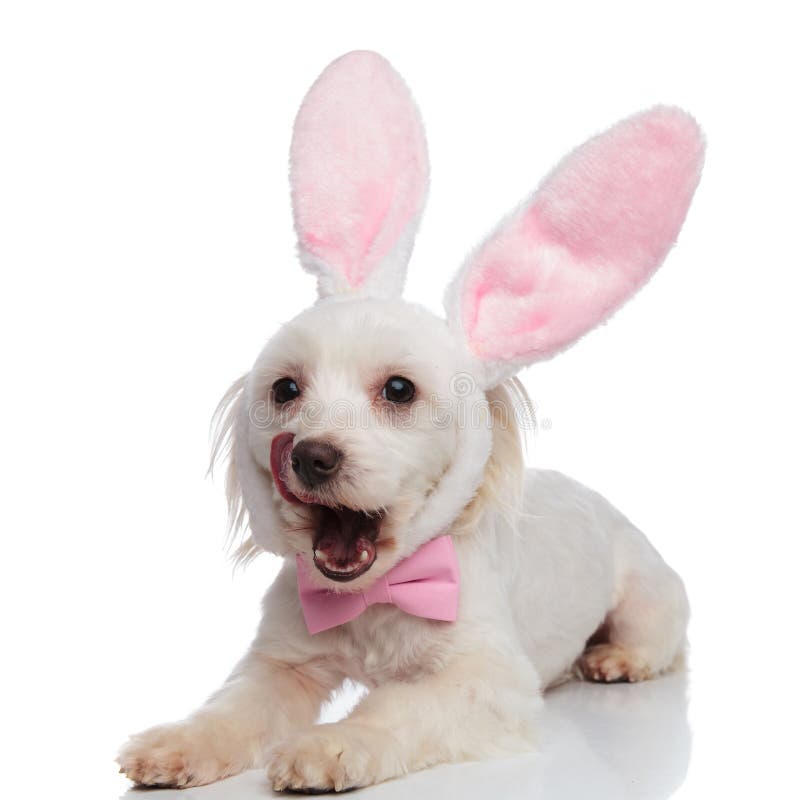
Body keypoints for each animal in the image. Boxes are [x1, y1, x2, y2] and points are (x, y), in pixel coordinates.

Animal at [115, 51, 704, 792]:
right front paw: (180, 742)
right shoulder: (280, 661)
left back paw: (616, 659)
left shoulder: (485, 683)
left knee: (661, 639)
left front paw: (332, 745)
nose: (309, 454)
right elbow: (234, 706)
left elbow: (396, 708)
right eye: (286, 389)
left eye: (398, 389)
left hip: (650, 592)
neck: (378, 594)